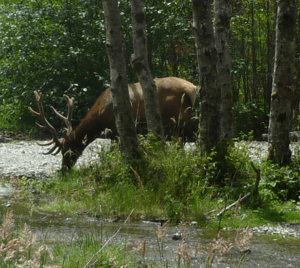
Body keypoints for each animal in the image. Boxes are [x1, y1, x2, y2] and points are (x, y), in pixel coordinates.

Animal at [29, 76, 197, 171]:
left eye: (67, 149)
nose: (63, 170)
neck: (98, 120)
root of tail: (193, 88)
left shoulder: (115, 130)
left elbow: (114, 153)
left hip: (181, 122)